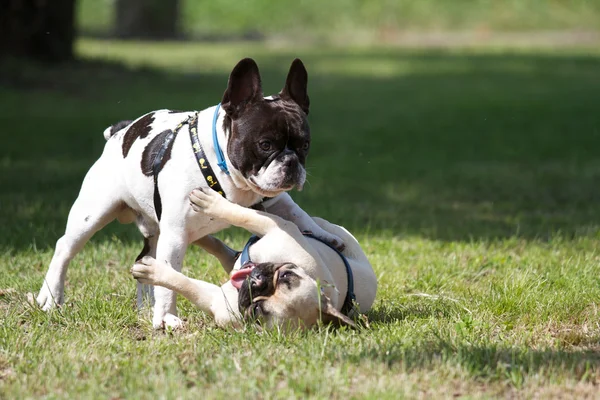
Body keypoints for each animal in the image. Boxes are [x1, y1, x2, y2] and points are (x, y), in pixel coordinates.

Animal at [36, 58, 342, 328]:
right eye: (265, 144)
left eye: (305, 145)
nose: (291, 162)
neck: (228, 174)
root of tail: (119, 132)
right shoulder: (175, 234)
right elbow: (171, 276)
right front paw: (166, 316)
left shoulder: (276, 198)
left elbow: (298, 216)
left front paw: (326, 236)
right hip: (93, 212)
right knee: (65, 248)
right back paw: (50, 297)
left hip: (155, 230)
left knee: (144, 257)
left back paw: (146, 305)